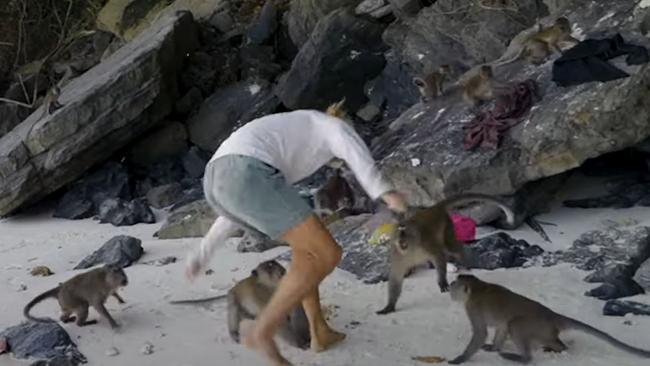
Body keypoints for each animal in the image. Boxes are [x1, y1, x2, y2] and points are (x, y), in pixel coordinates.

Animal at [374, 193, 512, 316]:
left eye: (405, 232)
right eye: (398, 233)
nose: (401, 240)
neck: (410, 250)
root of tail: (433, 209)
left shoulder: (425, 244)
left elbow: (438, 256)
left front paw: (442, 282)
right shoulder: (398, 256)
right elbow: (396, 277)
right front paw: (389, 306)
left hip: (447, 226)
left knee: (450, 246)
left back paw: (463, 258)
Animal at [446, 274, 648, 364]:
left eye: (454, 284)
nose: (448, 287)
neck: (476, 288)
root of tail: (551, 315)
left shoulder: (472, 308)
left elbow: (481, 332)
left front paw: (460, 358)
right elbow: (501, 327)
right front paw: (494, 347)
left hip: (535, 325)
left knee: (515, 324)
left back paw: (525, 358)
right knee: (510, 324)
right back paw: (556, 347)